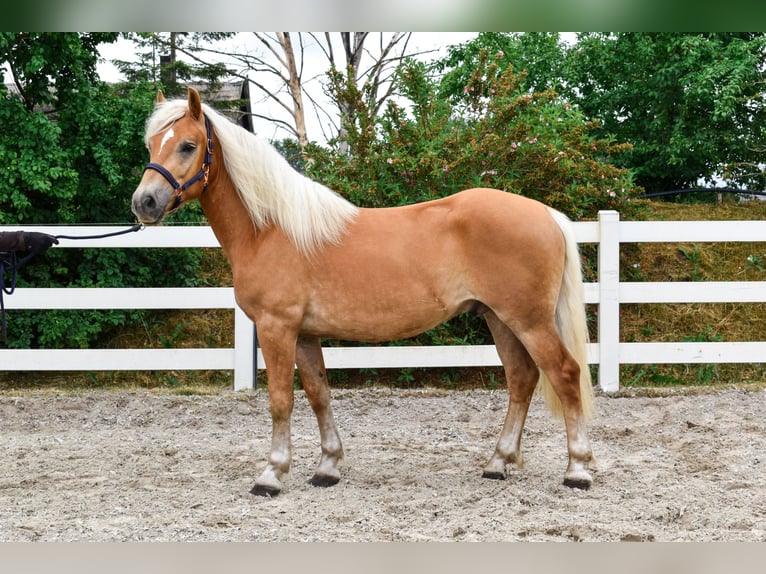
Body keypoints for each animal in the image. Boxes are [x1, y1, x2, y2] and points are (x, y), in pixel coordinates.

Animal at [132, 88, 596, 498]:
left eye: (188, 145)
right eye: (152, 144)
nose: (144, 203)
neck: (271, 230)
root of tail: (546, 214)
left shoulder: (276, 327)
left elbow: (281, 400)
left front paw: (271, 474)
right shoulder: (305, 333)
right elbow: (319, 395)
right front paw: (327, 467)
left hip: (528, 320)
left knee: (564, 374)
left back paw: (577, 469)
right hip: (499, 318)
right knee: (522, 379)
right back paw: (498, 463)